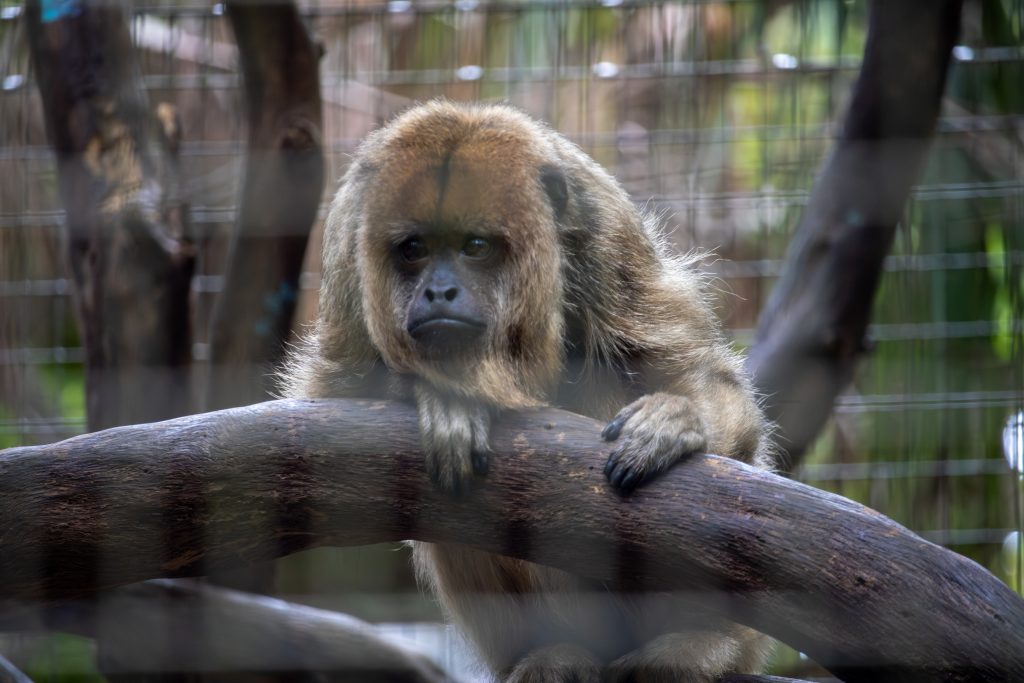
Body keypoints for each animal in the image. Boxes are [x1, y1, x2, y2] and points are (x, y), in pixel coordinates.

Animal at [281, 100, 774, 682]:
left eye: (475, 246)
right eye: (413, 249)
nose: (439, 291)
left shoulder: (603, 228)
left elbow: (703, 375)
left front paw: (678, 422)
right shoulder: (344, 242)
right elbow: (327, 426)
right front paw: (449, 398)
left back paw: (700, 644)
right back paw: (555, 652)